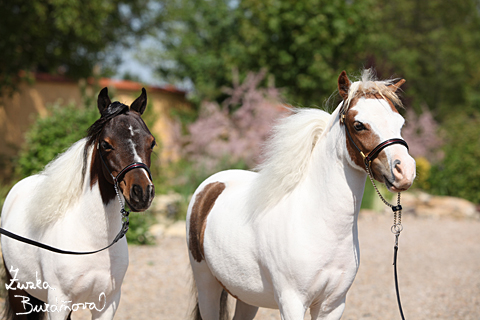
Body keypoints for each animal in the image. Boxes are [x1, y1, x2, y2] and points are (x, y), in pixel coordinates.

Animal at [1, 88, 156, 320]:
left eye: (151, 142)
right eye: (106, 144)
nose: (142, 193)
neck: (93, 243)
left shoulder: (107, 304)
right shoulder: (59, 303)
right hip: (18, 291)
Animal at [188, 70, 416, 320]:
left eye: (400, 122)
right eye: (358, 125)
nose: (405, 171)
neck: (319, 225)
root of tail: (211, 185)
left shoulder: (333, 305)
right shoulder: (292, 302)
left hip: (247, 296)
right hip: (207, 285)